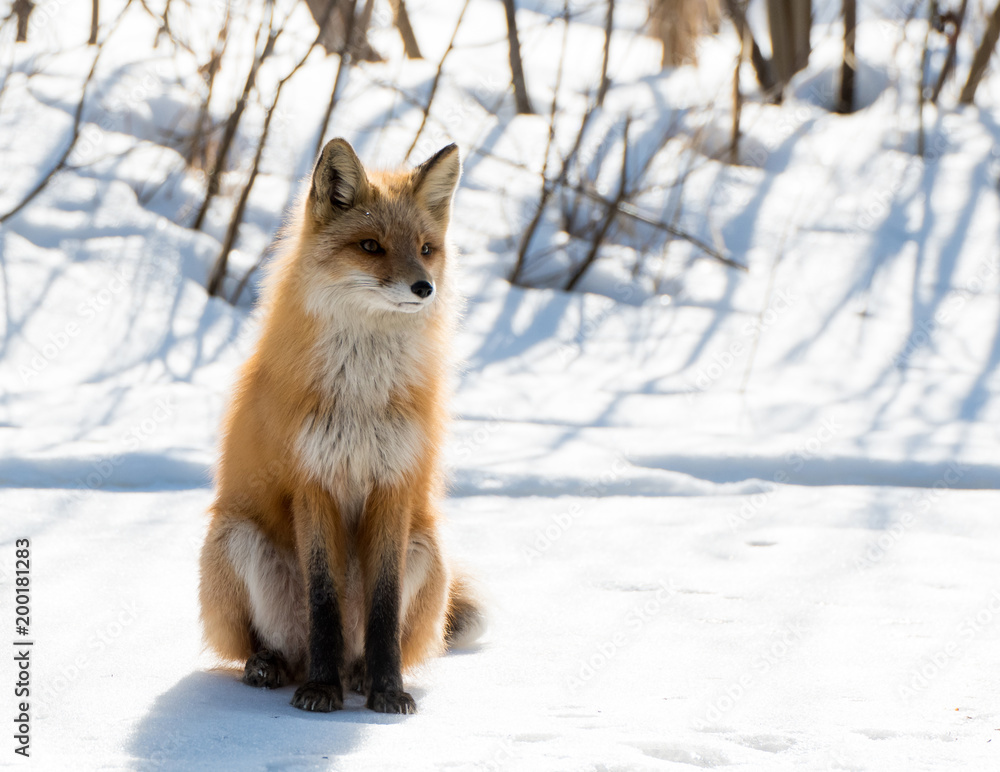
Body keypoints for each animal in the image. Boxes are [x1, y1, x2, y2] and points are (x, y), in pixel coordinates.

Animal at [198, 137, 483, 714]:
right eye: (371, 246)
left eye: (425, 248)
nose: (425, 288)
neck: (362, 399)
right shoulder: (313, 483)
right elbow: (324, 602)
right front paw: (320, 691)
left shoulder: (394, 487)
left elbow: (383, 609)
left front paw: (387, 689)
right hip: (235, 538)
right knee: (280, 644)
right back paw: (277, 667)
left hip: (427, 550)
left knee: (368, 640)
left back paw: (358, 676)